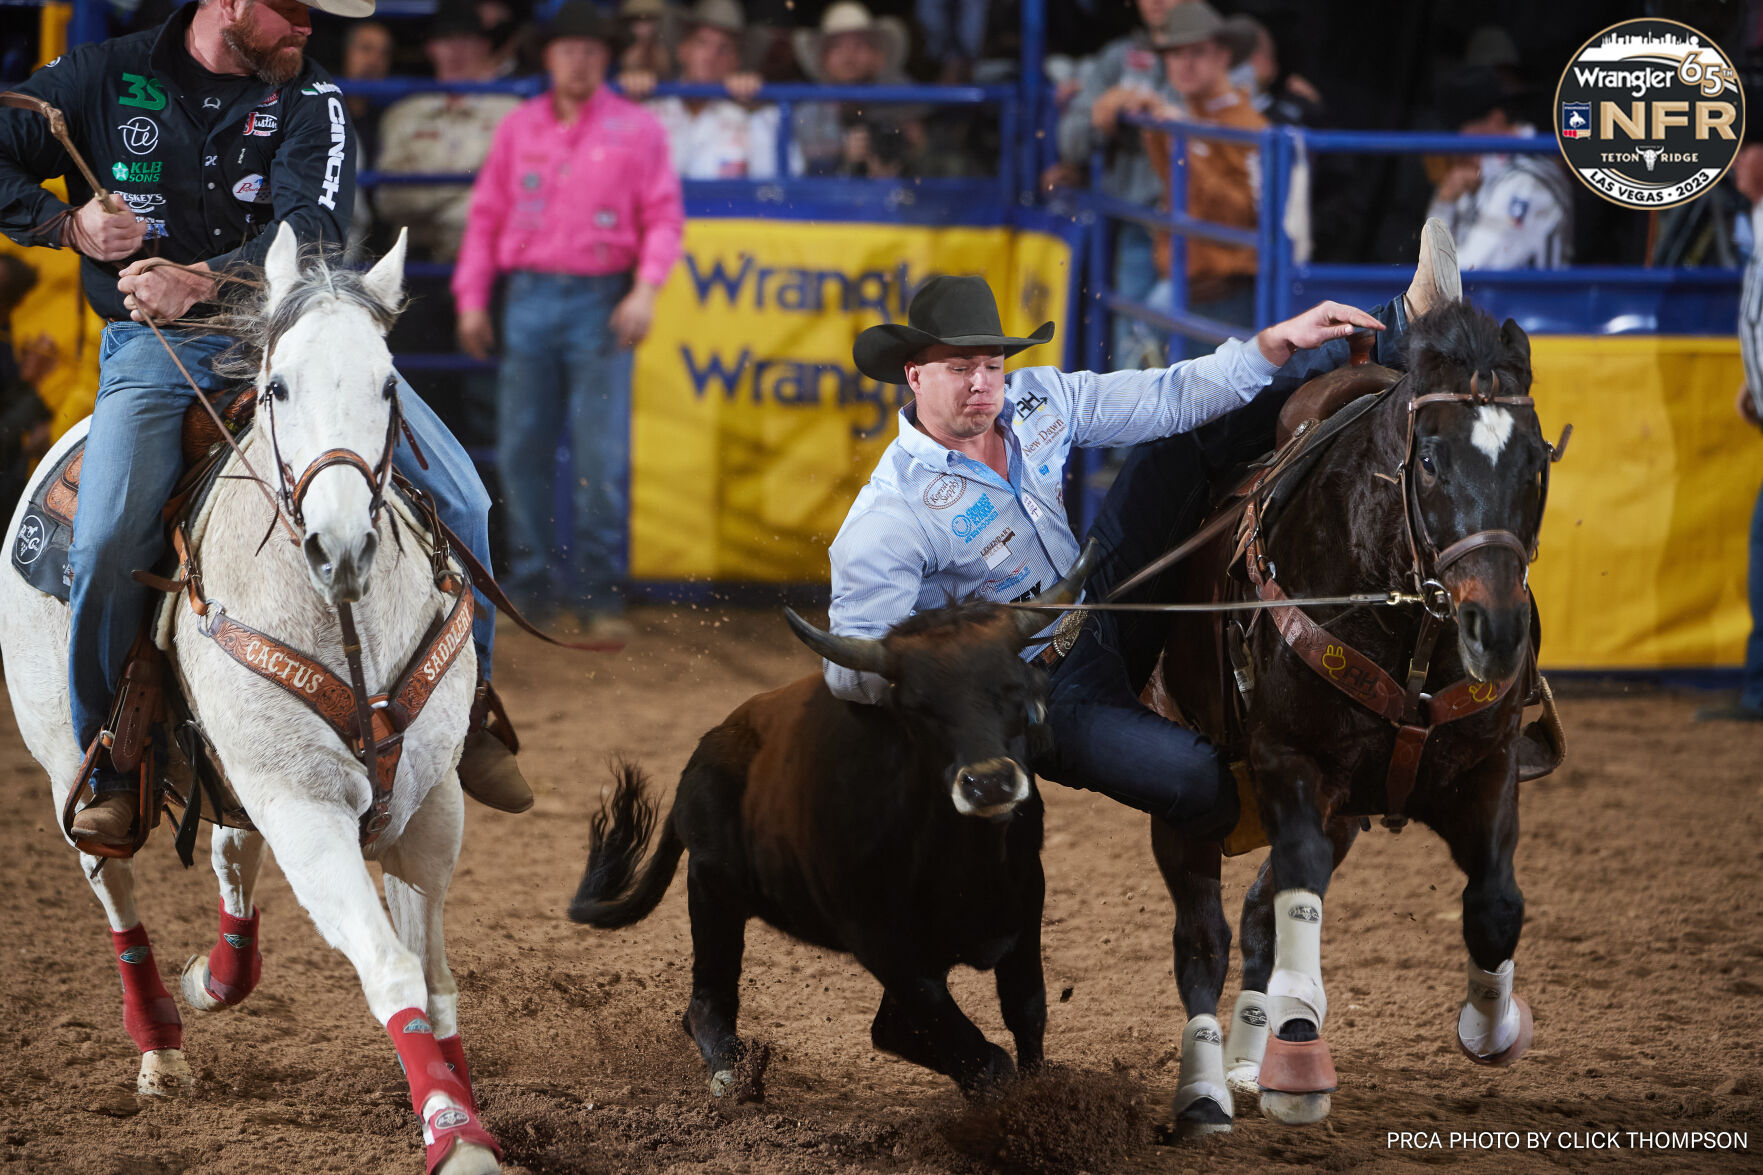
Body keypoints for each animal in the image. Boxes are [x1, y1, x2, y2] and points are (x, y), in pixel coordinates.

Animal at [5, 222, 504, 1171]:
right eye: (279, 385)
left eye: (390, 382)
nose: (339, 545)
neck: (348, 622)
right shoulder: (304, 807)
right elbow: (390, 965)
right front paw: (455, 1132)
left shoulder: (429, 802)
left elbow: (433, 975)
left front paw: (459, 1103)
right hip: (67, 764)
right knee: (113, 883)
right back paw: (161, 1043)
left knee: (232, 855)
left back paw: (220, 973)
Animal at [1149, 301, 1565, 1136]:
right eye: (1430, 460)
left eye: (1535, 461)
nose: (1496, 630)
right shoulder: (1292, 762)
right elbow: (1297, 895)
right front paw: (1297, 1057)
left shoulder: (1487, 765)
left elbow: (1495, 903)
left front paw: (1492, 1026)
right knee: (1205, 939)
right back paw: (1211, 1084)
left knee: (1254, 913)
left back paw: (1244, 1058)